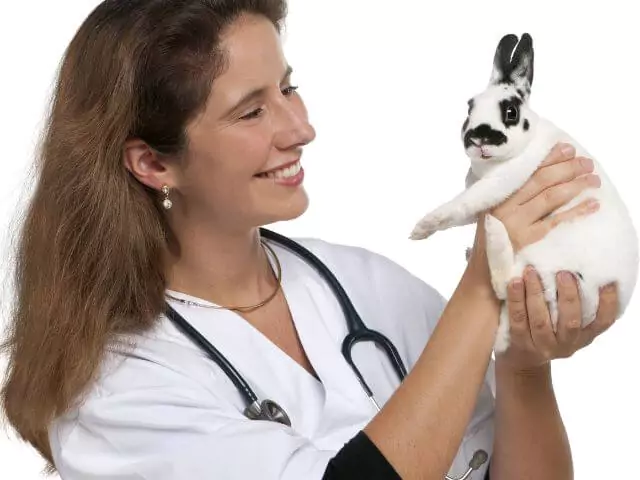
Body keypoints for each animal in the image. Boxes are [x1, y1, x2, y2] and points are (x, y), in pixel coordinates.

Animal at [408, 31, 636, 352]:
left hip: (556, 270)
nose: (479, 138)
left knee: (507, 282)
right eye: (469, 107)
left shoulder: (502, 181)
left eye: (510, 112)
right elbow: (464, 214)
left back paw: (493, 233)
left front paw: (423, 226)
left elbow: (463, 204)